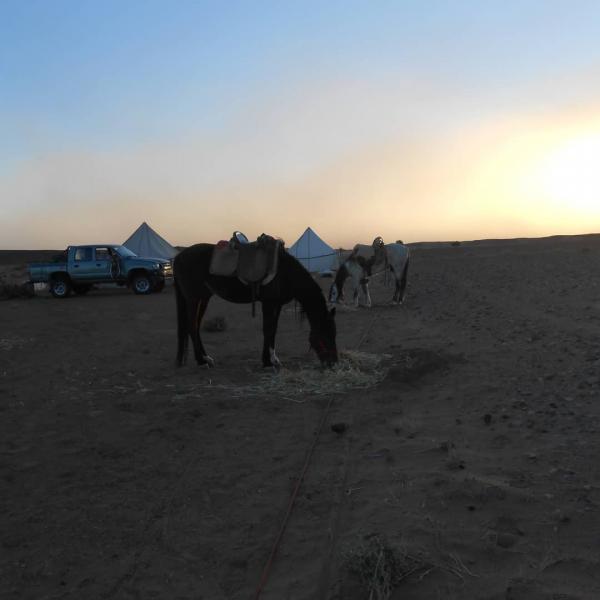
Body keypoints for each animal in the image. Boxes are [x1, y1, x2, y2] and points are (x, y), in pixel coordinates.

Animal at [173, 241, 338, 368]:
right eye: (325, 335)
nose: (333, 363)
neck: (284, 272)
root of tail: (178, 257)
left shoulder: (277, 304)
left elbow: (273, 330)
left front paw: (273, 360)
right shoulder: (268, 303)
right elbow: (267, 330)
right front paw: (267, 363)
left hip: (203, 298)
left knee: (195, 326)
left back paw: (206, 358)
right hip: (193, 299)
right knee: (192, 326)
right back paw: (201, 362)